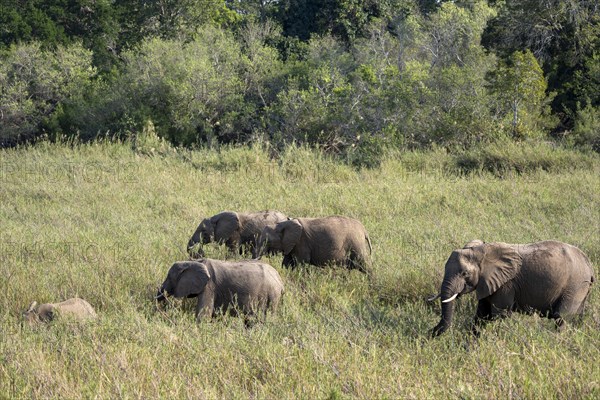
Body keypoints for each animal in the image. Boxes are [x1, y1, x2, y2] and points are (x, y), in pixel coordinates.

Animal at [432, 239, 596, 336]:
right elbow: (482, 315)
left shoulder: (505, 285)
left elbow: (499, 315)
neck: (480, 250)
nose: (430, 333)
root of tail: (589, 265)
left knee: (561, 318)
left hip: (575, 285)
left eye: (464, 273)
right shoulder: (488, 283)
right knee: (576, 318)